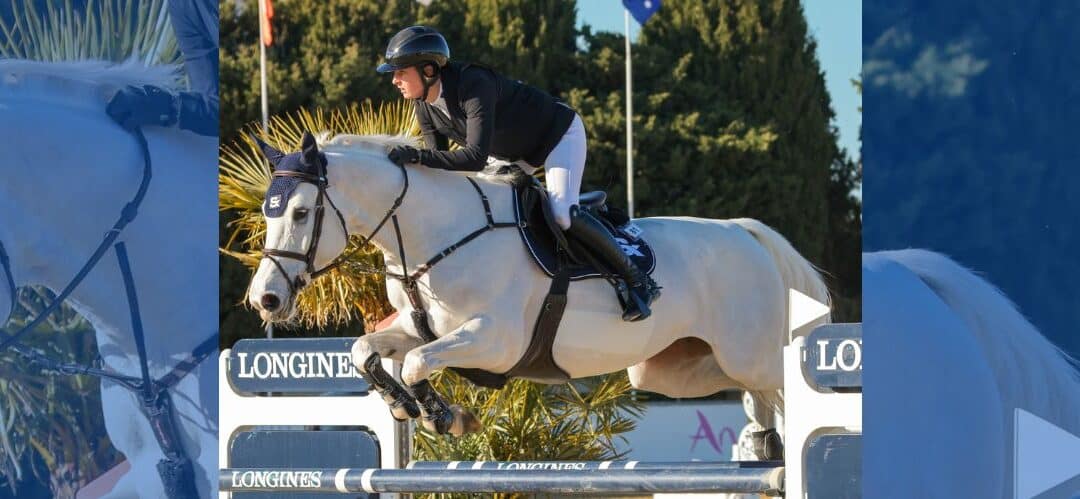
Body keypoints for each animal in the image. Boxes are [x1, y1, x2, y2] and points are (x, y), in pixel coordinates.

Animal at [247, 133, 825, 440]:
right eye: (266, 212)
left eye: (301, 213)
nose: (265, 299)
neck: (432, 233)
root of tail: (744, 233)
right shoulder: (421, 327)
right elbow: (366, 350)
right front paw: (404, 407)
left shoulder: (496, 340)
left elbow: (414, 363)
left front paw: (445, 417)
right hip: (672, 368)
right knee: (756, 398)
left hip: (750, 355)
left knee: (784, 386)